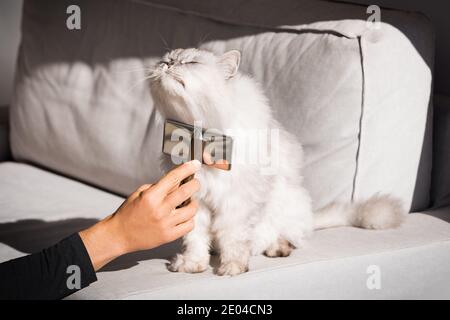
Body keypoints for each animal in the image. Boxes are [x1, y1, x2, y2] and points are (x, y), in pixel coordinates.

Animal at [149, 47, 406, 276]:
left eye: (191, 63)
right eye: (166, 59)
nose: (168, 64)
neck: (197, 136)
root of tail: (310, 217)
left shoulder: (236, 203)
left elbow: (233, 240)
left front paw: (232, 267)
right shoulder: (194, 203)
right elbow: (195, 240)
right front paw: (193, 265)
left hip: (287, 204)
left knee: (285, 237)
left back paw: (277, 248)